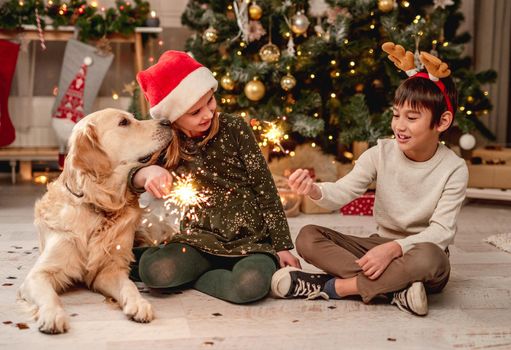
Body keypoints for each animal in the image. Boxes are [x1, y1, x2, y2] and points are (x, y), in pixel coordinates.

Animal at [17, 108, 174, 332]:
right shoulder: (37, 275)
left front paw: (139, 303)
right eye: (124, 122)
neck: (99, 205)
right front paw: (52, 314)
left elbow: (129, 285)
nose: (168, 122)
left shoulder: (108, 270)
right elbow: (50, 296)